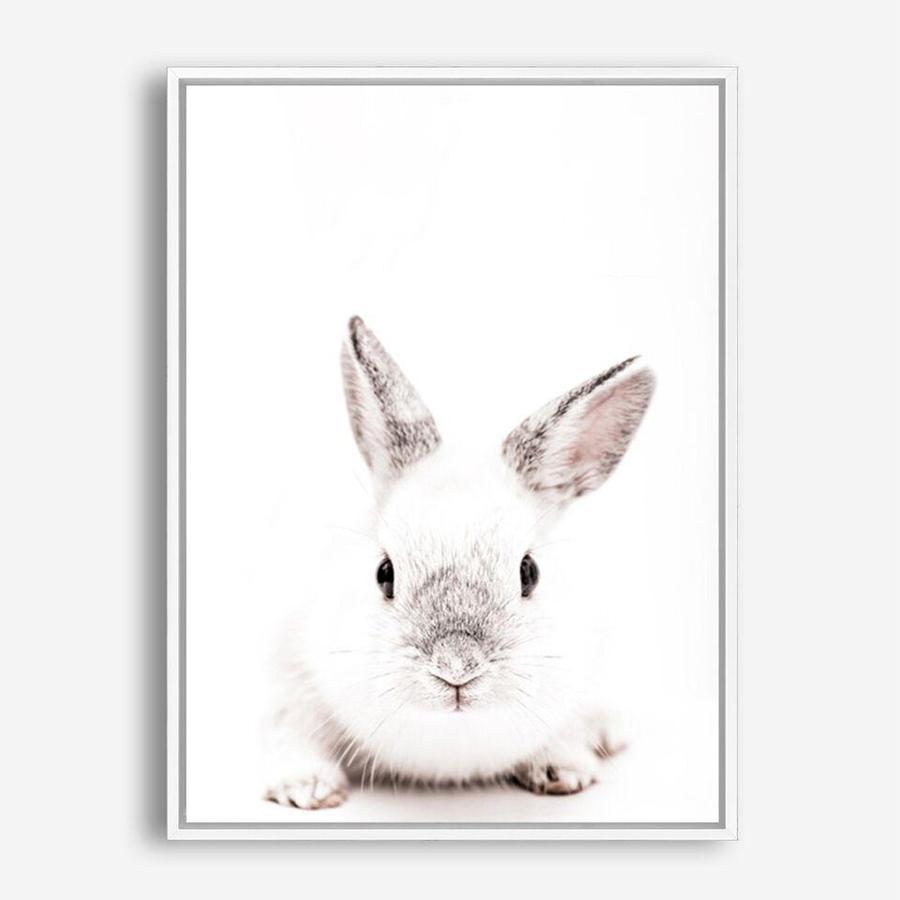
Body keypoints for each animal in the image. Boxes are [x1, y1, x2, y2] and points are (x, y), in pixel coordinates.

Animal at [264, 316, 655, 810]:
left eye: (530, 573)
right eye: (384, 574)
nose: (456, 667)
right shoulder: (287, 679)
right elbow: (290, 731)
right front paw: (307, 788)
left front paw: (564, 769)